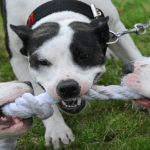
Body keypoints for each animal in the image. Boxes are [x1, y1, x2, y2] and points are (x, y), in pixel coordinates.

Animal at [0, 0, 143, 148]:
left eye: (84, 56)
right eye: (42, 62)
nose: (67, 87)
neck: (58, 9)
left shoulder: (116, 27)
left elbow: (133, 55)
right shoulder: (17, 59)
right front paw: (57, 129)